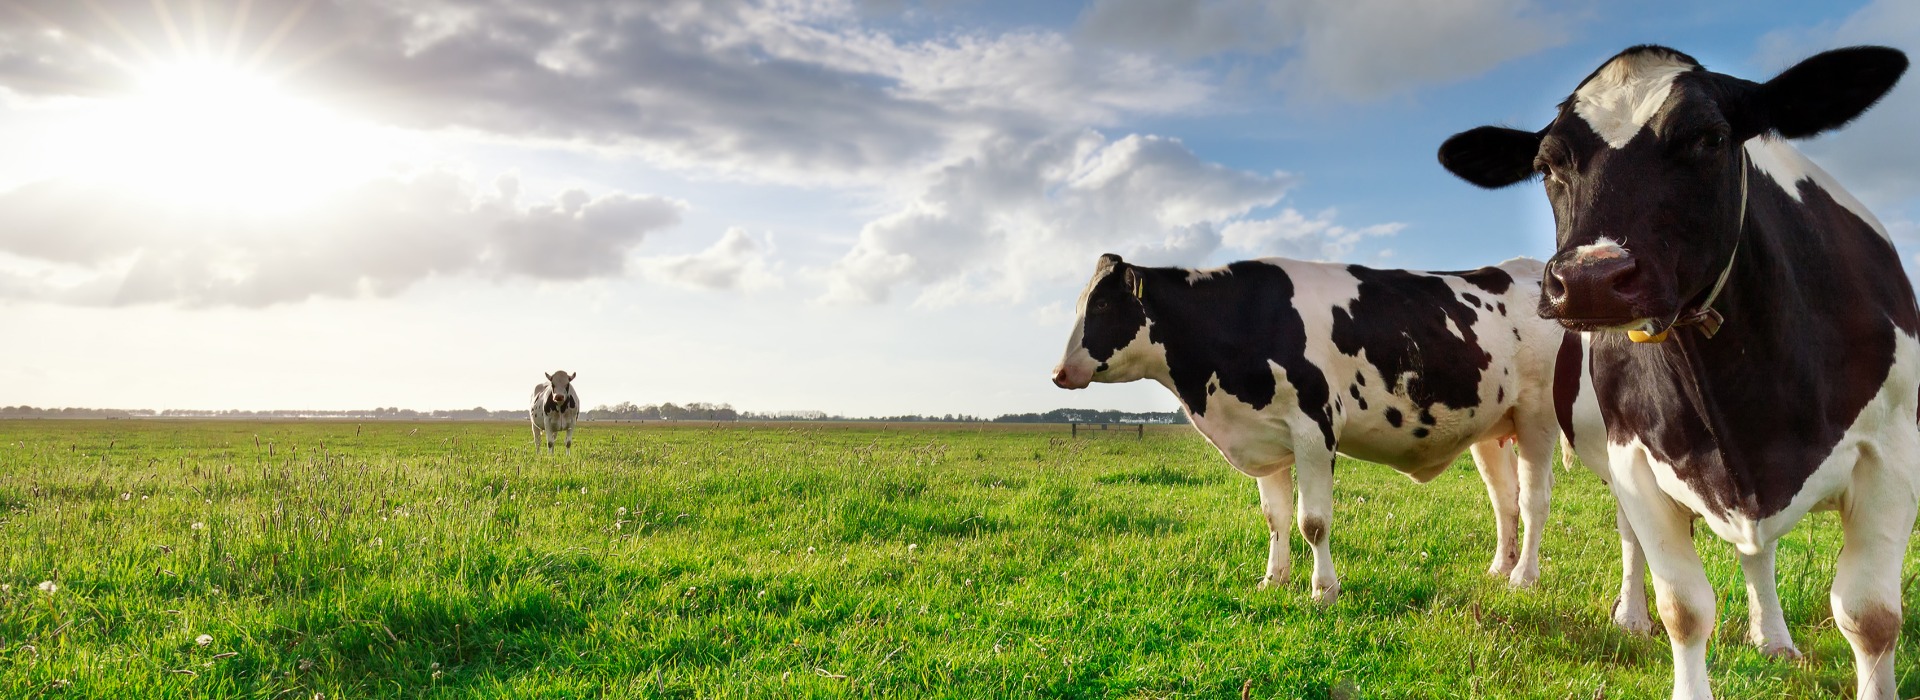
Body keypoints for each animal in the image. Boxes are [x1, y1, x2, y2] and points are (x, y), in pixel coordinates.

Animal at [1052, 253, 1574, 602]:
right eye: (1078, 305)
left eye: (1102, 307)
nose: (1059, 372)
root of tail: (1529, 267)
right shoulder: (1266, 437)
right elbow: (1276, 517)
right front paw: (1273, 579)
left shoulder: (1315, 428)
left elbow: (1313, 521)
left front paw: (1323, 590)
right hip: (1492, 428)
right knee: (1505, 500)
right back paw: (1499, 568)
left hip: (1538, 418)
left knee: (1534, 500)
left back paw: (1524, 578)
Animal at [1443, 45, 1920, 698]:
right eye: (1547, 166)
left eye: (1710, 138)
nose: (1590, 279)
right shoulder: (1636, 460)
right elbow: (1684, 609)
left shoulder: (1891, 457)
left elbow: (1869, 618)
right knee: (1633, 540)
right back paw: (1631, 615)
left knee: (1757, 555)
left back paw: (1773, 638)